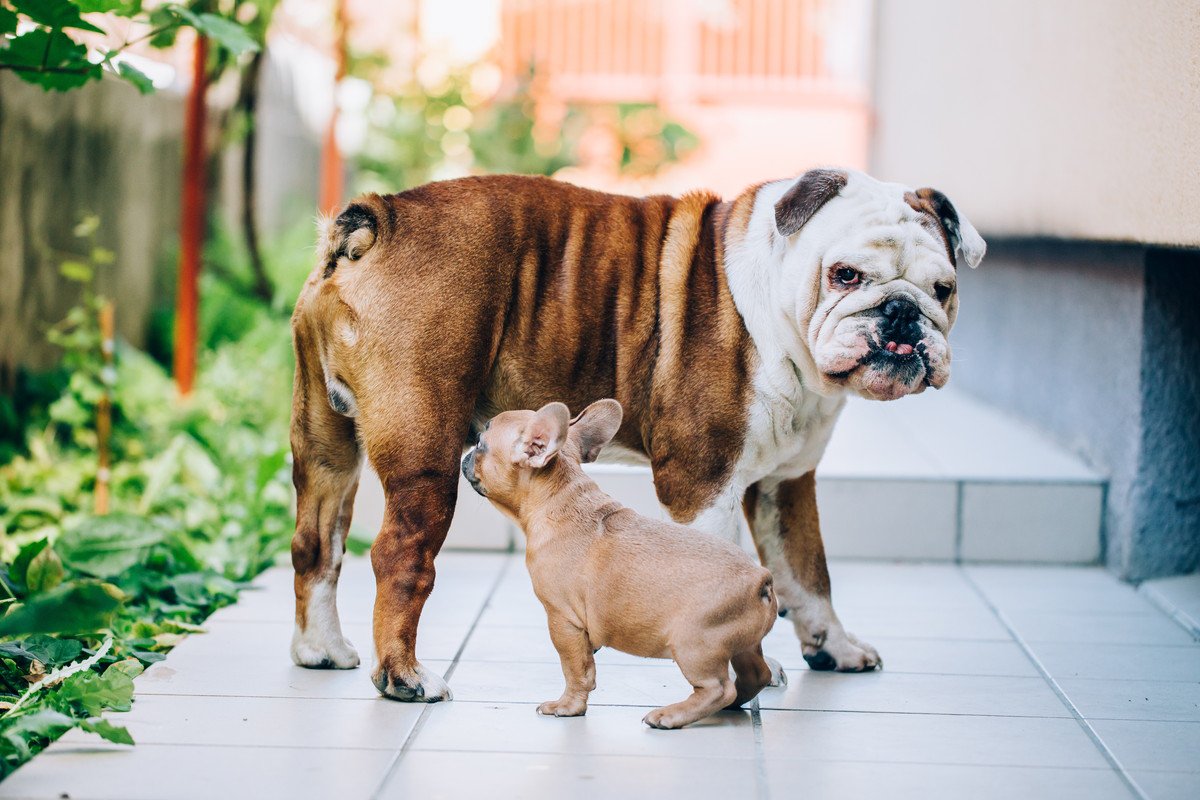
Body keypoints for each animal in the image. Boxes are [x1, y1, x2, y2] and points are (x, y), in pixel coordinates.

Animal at [460, 398, 787, 729]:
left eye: (482, 443)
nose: (466, 454)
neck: (559, 498)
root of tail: (761, 579)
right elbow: (586, 664)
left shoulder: (563, 620)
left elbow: (574, 669)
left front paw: (567, 706)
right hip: (743, 644)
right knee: (756, 674)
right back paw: (729, 706)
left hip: (694, 643)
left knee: (718, 688)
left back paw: (671, 715)